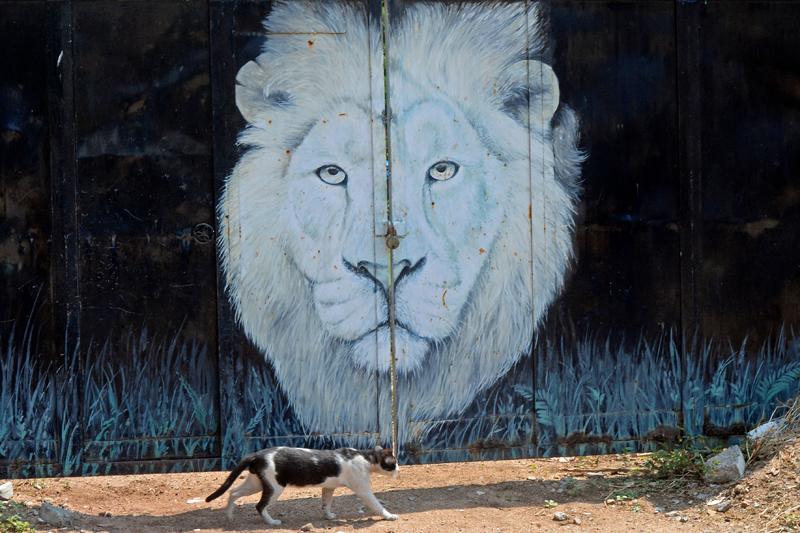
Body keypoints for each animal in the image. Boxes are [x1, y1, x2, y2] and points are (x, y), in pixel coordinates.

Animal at [206, 444, 400, 524]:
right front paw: (389, 516)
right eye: (394, 463)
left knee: (233, 493)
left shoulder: (328, 487)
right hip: (274, 488)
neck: (366, 458)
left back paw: (229, 517)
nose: (399, 469)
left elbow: (326, 504)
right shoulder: (363, 490)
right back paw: (272, 522)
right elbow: (377, 505)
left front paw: (328, 516)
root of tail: (258, 454)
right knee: (259, 506)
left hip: (256, 484)